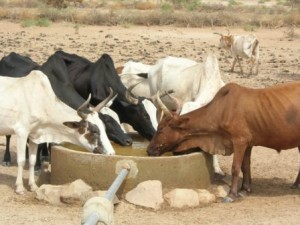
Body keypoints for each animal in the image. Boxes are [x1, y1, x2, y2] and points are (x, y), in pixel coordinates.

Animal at [147, 81, 300, 202]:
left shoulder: (240, 140)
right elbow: (245, 167)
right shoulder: (248, 143)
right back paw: (295, 185)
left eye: (160, 129)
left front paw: (232, 194)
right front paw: (245, 189)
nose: (149, 150)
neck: (222, 109)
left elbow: (235, 168)